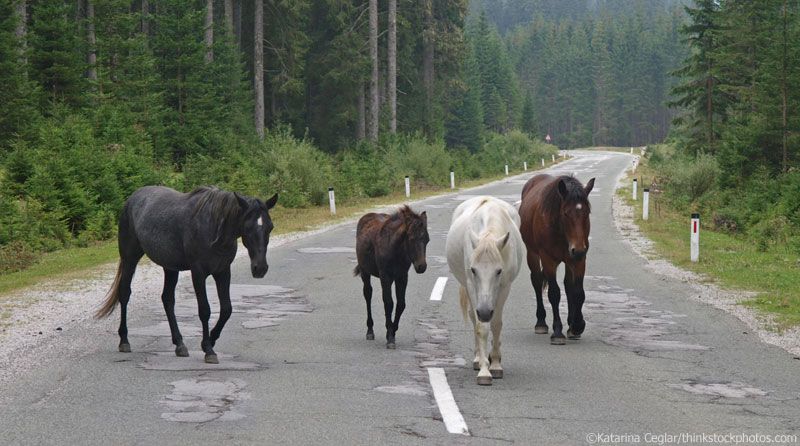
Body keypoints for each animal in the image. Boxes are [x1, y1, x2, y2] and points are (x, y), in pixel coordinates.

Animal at [356, 206, 432, 348]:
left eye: (427, 240)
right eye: (411, 238)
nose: (421, 267)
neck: (396, 251)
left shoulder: (402, 277)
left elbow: (401, 304)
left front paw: (392, 331)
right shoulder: (385, 277)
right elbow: (389, 303)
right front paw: (390, 337)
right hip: (365, 271)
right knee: (368, 294)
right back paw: (370, 331)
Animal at [444, 197, 524, 386]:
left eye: (499, 271)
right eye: (473, 270)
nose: (485, 311)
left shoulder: (504, 287)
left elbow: (496, 324)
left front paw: (495, 364)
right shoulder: (472, 287)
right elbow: (481, 326)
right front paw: (484, 370)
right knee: (473, 318)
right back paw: (477, 358)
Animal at [520, 174, 592, 344]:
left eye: (586, 213)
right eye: (565, 213)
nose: (578, 249)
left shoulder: (579, 260)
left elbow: (578, 292)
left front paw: (577, 325)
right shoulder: (548, 260)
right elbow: (554, 293)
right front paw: (558, 331)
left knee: (568, 285)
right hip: (532, 253)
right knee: (537, 281)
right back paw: (541, 323)